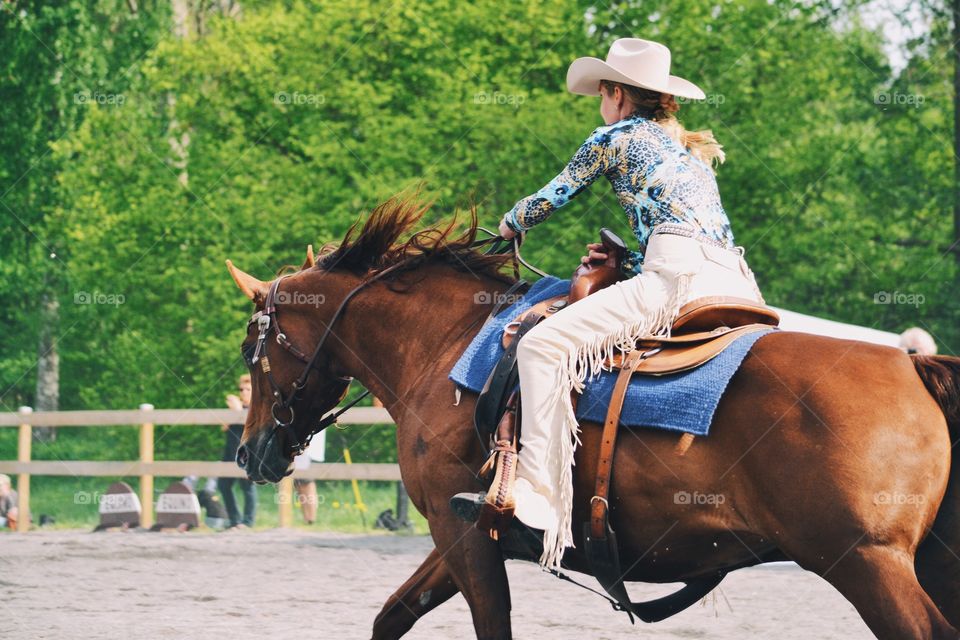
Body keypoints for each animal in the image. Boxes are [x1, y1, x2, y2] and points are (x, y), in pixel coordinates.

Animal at [231, 198, 960, 636]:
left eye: (249, 348)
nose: (248, 452)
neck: (449, 347)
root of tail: (915, 367)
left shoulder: (459, 532)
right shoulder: (464, 532)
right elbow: (393, 615)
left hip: (867, 564)